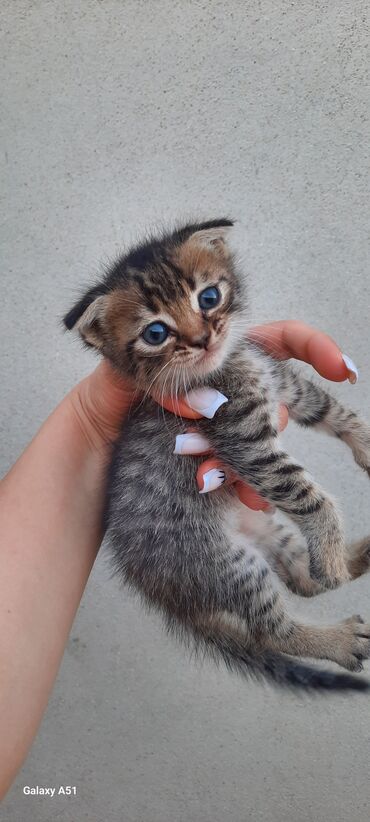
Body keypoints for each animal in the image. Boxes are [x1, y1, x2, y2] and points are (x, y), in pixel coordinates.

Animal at [64, 217, 370, 688]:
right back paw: (334, 636)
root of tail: (152, 585)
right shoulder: (242, 438)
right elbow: (306, 493)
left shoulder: (288, 389)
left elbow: (335, 411)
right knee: (272, 631)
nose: (202, 337)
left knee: (302, 580)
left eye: (209, 297)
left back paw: (359, 555)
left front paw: (367, 447)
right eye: (156, 333)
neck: (230, 365)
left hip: (263, 532)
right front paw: (330, 551)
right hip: (225, 564)